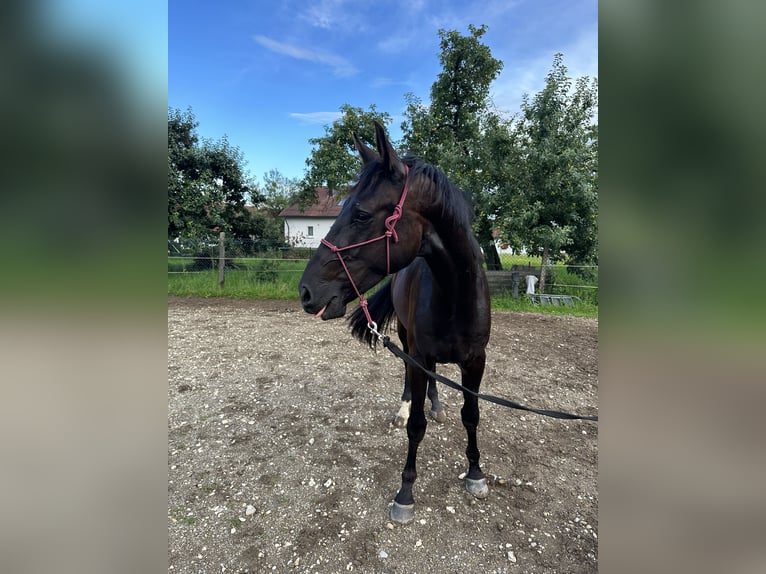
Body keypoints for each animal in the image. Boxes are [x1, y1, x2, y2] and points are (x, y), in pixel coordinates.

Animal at [298, 122, 492, 528]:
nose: (306, 292)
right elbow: (416, 426)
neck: (455, 296)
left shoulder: (475, 361)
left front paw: (476, 474)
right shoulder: (418, 355)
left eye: (360, 214)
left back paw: (437, 406)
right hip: (406, 341)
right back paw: (404, 410)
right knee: (407, 377)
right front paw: (405, 493)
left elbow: (472, 415)